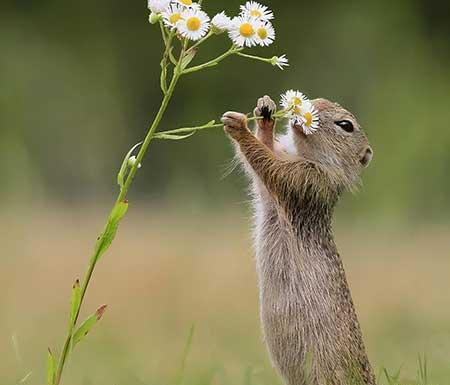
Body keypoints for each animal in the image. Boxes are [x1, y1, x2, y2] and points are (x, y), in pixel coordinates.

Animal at [221, 96, 372, 384]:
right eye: (321, 100)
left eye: (346, 125)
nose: (311, 105)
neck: (306, 155)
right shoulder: (275, 191)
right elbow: (264, 173)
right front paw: (265, 113)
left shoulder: (307, 181)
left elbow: (270, 167)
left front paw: (239, 126)